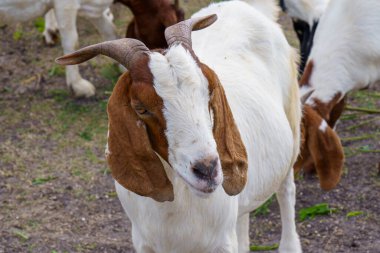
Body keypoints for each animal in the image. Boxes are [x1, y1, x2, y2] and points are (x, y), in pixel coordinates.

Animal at [55, 0, 302, 252]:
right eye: (141, 108)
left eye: (208, 93)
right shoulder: (143, 241)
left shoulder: (222, 241)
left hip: (292, 128)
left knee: (287, 190)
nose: (207, 169)